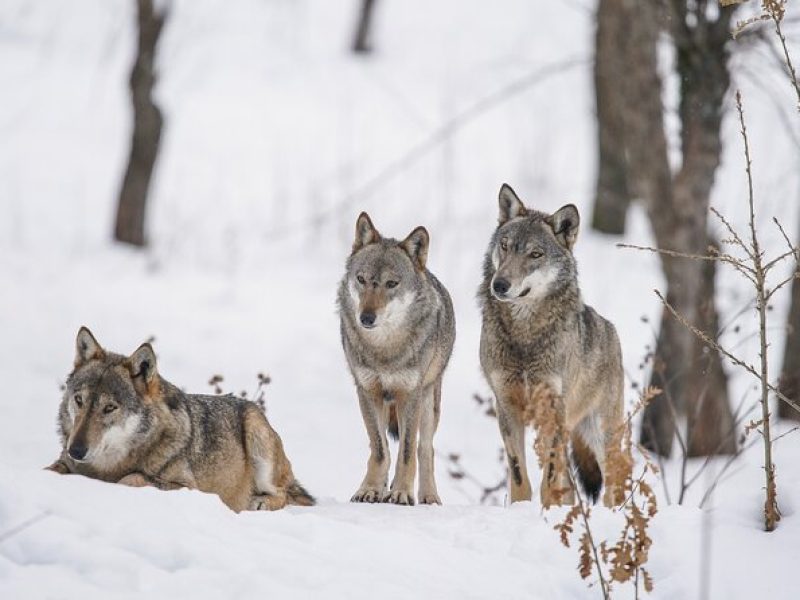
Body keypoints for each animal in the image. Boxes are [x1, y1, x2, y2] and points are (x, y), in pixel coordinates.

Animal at [45, 328, 316, 510]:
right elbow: (53, 469)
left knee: (282, 494)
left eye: (110, 407)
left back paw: (259, 502)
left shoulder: (187, 488)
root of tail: (251, 405)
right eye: (79, 400)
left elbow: (132, 478)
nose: (75, 450)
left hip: (256, 435)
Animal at [336, 213, 454, 504]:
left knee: (425, 449)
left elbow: (408, 452)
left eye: (391, 284)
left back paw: (428, 497)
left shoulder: (410, 394)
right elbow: (380, 449)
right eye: (361, 279)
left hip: (428, 401)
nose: (366, 318)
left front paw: (401, 491)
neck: (385, 350)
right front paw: (370, 489)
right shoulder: (367, 391)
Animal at [478, 183, 628, 506]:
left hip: (601, 436)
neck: (524, 334)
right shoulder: (506, 406)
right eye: (505, 246)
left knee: (614, 487)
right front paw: (522, 508)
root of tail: (611, 329)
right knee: (570, 485)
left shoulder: (553, 410)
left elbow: (548, 477)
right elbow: (519, 476)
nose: (500, 285)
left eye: (535, 254)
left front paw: (548, 511)